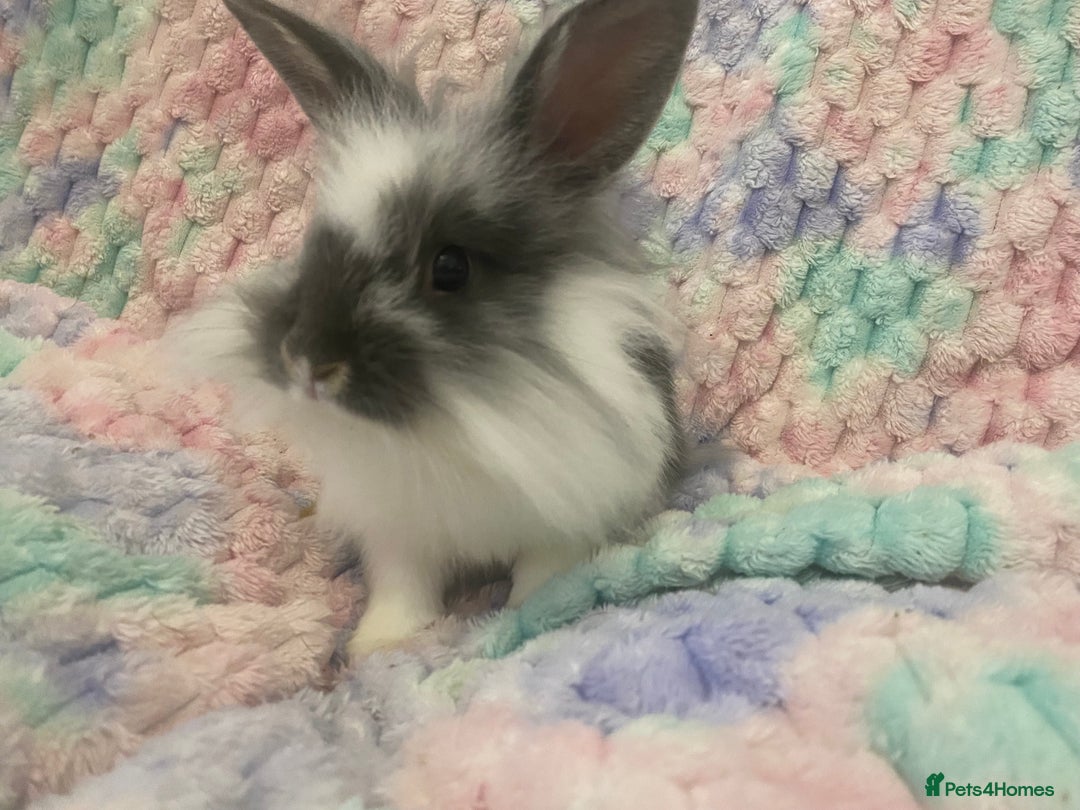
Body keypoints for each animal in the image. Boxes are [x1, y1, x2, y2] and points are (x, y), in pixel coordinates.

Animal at [167, 0, 700, 659]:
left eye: (450, 268)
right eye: (314, 246)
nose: (307, 363)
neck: (461, 419)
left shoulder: (570, 513)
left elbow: (544, 576)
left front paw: (530, 617)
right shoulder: (398, 530)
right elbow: (402, 588)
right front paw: (378, 644)